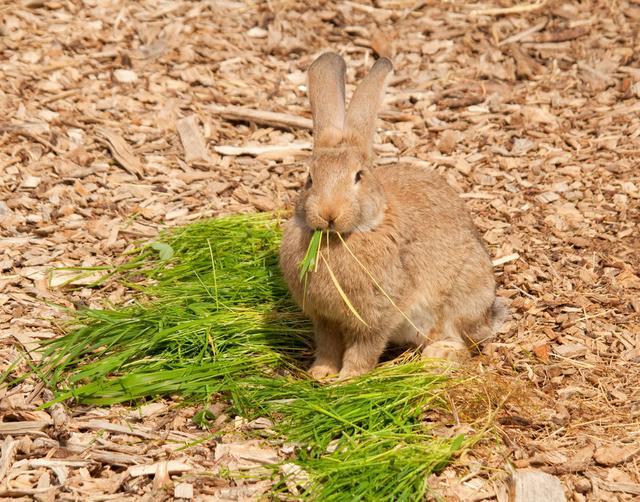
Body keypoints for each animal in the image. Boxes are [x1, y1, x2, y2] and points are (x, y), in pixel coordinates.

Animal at [280, 52, 500, 380]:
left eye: (358, 176)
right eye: (309, 179)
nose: (328, 213)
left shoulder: (377, 316)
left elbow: (364, 349)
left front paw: (347, 379)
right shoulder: (325, 319)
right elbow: (328, 346)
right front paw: (321, 373)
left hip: (462, 298)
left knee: (459, 339)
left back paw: (437, 358)